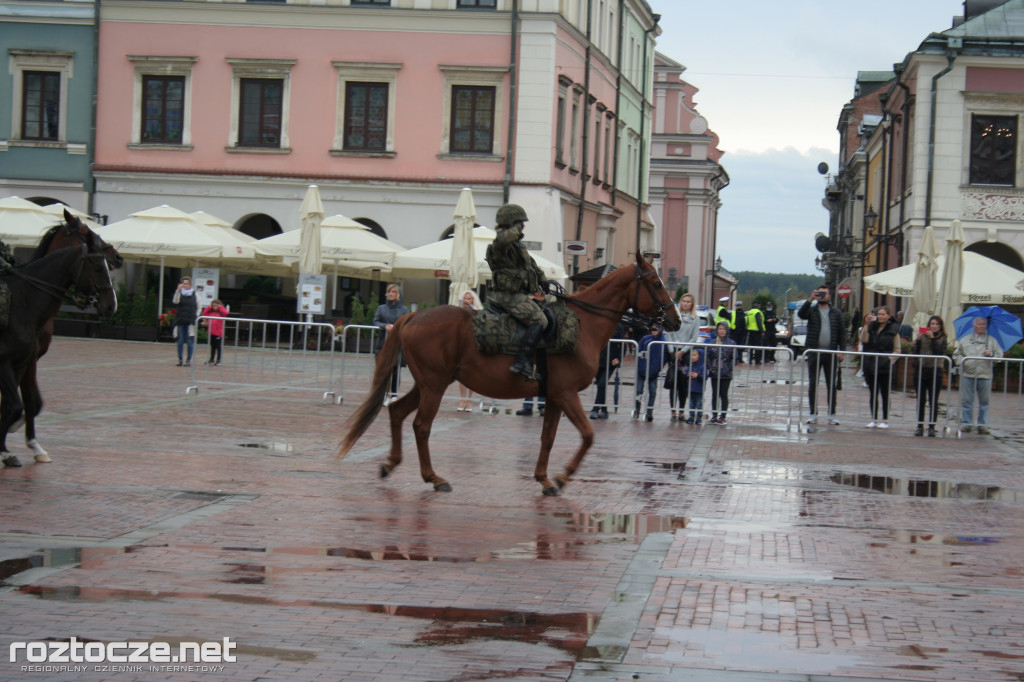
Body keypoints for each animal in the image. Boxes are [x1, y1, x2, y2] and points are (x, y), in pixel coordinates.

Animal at [6, 209, 122, 464]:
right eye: (87, 232)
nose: (118, 257)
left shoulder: (28, 359)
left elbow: (33, 402)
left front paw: (29, 442)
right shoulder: (25, 359)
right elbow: (27, 401)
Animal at [339, 250, 684, 493]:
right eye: (656, 283)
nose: (676, 319)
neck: (583, 324)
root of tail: (413, 317)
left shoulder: (554, 397)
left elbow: (547, 438)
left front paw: (544, 478)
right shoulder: (565, 393)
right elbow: (587, 435)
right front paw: (562, 476)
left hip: (427, 384)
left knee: (397, 411)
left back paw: (392, 463)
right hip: (434, 386)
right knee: (421, 426)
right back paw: (434, 477)